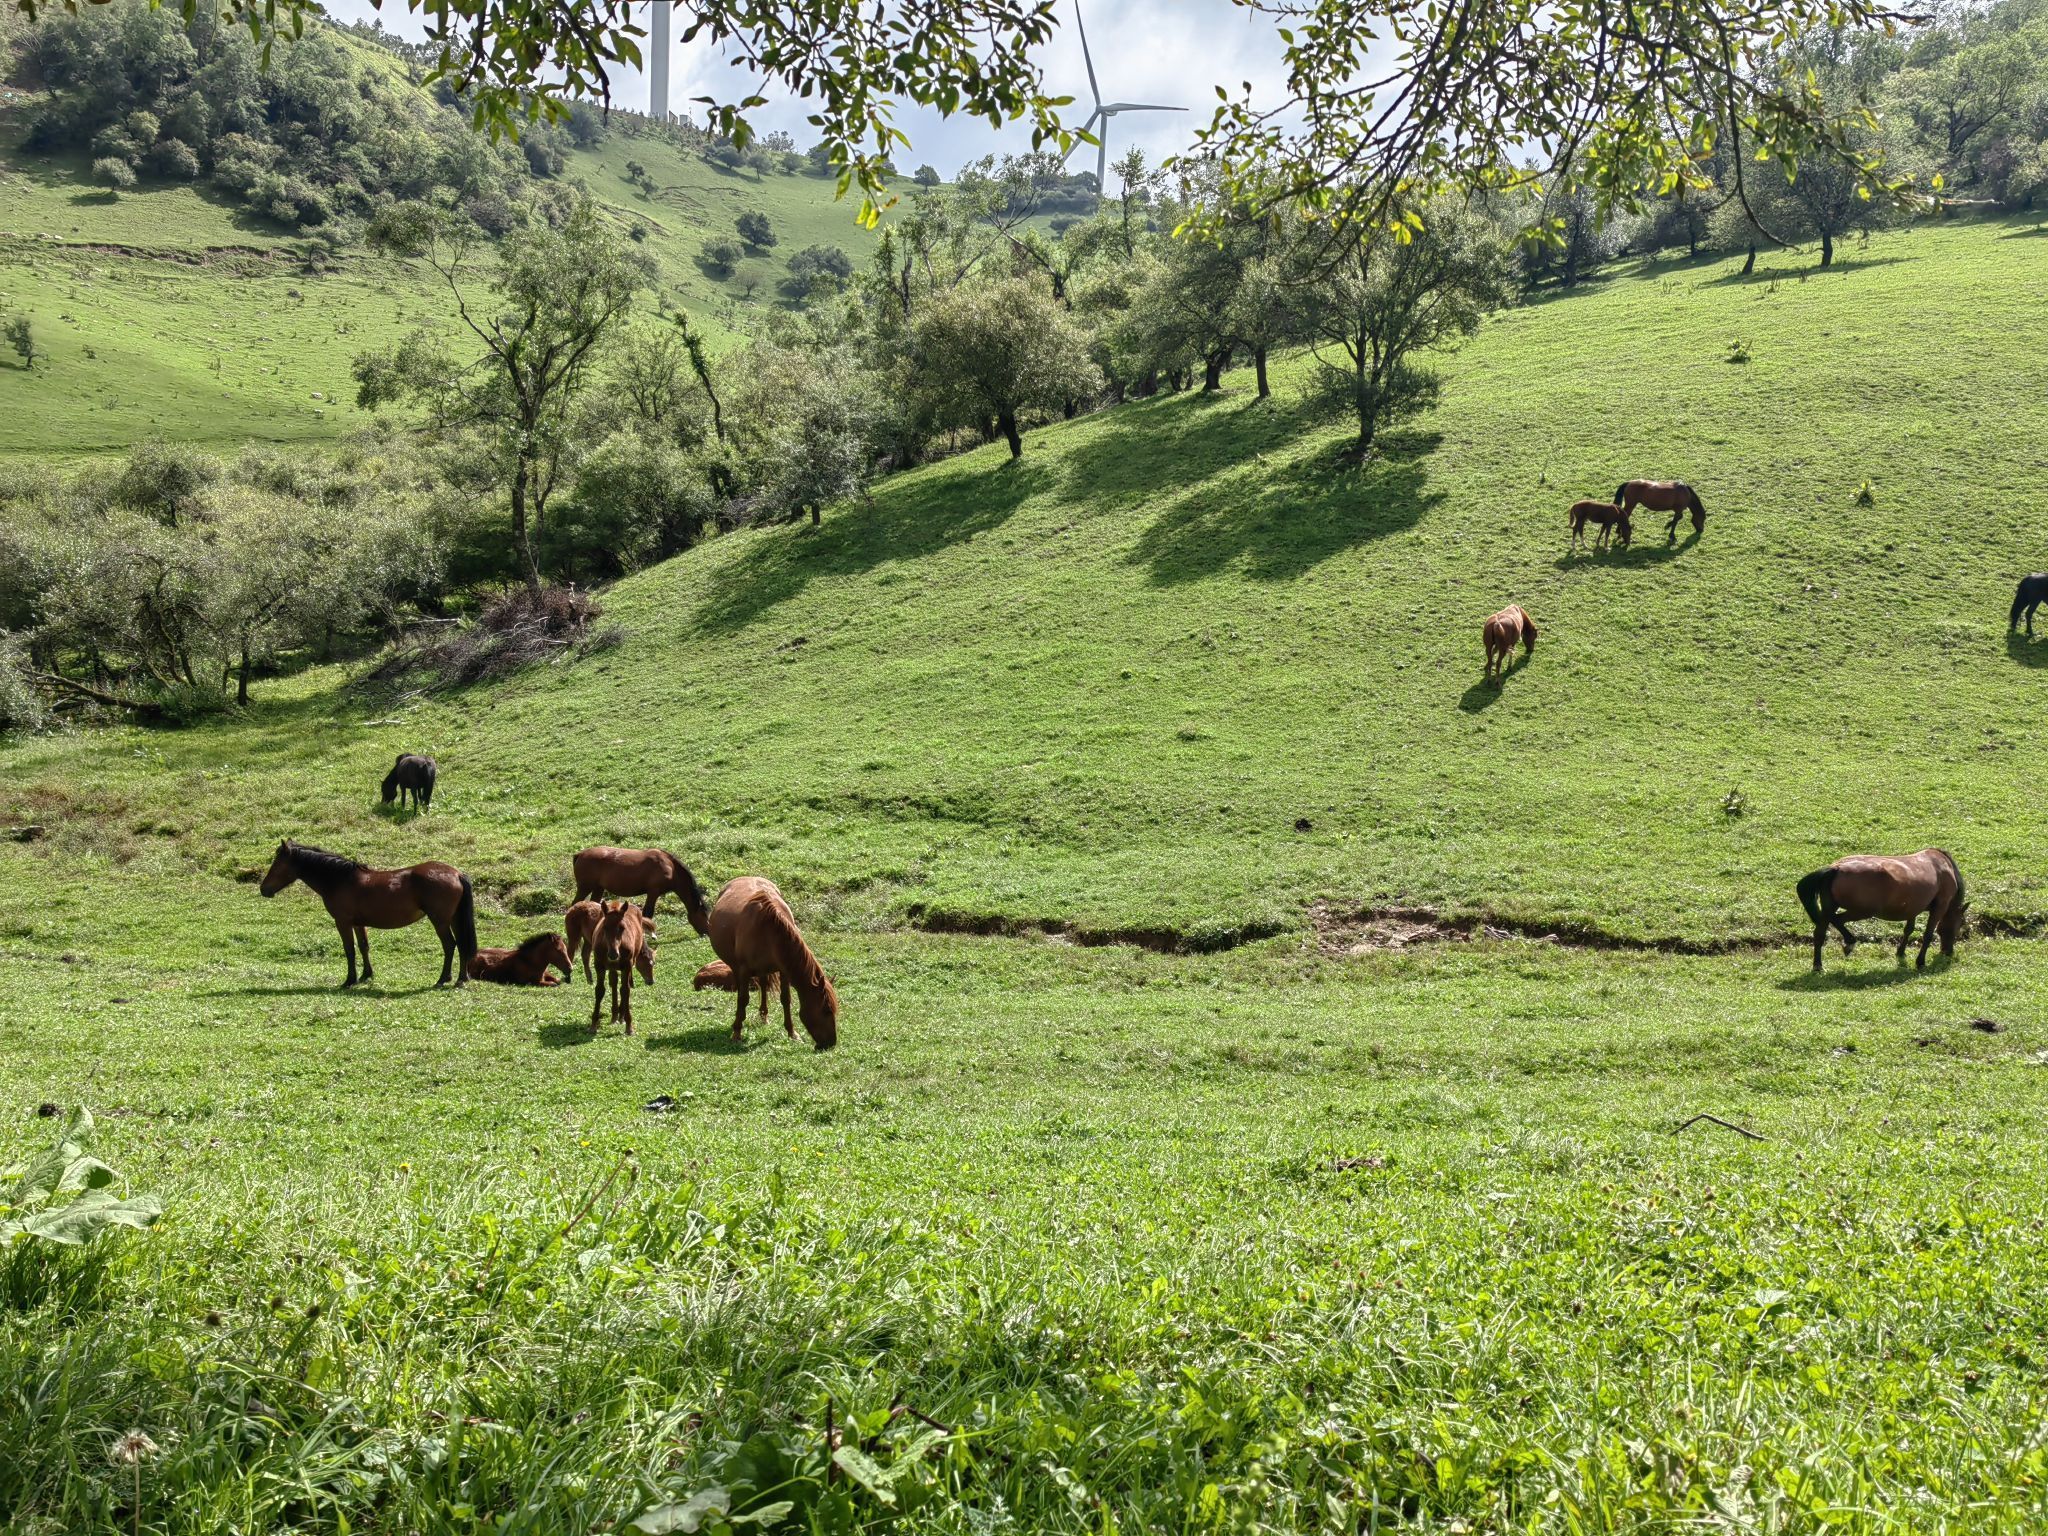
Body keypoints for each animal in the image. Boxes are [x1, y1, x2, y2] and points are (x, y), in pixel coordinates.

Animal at [256, 843, 475, 987]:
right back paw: (461, 979)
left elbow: (350, 950)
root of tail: (456, 873)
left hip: (440, 921)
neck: (340, 880)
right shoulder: (358, 923)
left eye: (277, 864)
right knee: (462, 944)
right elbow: (363, 947)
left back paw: (443, 979)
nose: (263, 889)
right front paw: (366, 976)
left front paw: (349, 980)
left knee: (450, 945)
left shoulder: (343, 922)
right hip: (454, 919)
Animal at [569, 847, 712, 933]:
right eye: (704, 915)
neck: (670, 867)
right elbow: (647, 913)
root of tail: (580, 854)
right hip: (585, 887)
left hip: (598, 888)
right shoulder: (653, 892)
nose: (707, 932)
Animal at [585, 897, 655, 1040]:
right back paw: (614, 1016)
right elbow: (599, 990)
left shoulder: (627, 965)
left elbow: (625, 990)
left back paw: (620, 1016)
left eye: (622, 928)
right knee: (614, 982)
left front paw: (629, 1026)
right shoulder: (599, 965)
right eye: (605, 927)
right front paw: (593, 1025)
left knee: (623, 985)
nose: (613, 954)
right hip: (612, 967)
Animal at [1794, 856, 1966, 974]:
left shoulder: (1913, 908)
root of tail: (1835, 869)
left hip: (1831, 907)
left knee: (1820, 932)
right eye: (1960, 924)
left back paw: (1818, 965)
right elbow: (1928, 935)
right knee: (1836, 919)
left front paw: (1900, 952)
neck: (1944, 867)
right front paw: (1920, 962)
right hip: (1863, 911)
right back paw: (1849, 942)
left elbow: (1908, 929)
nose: (1948, 952)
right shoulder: (1940, 907)